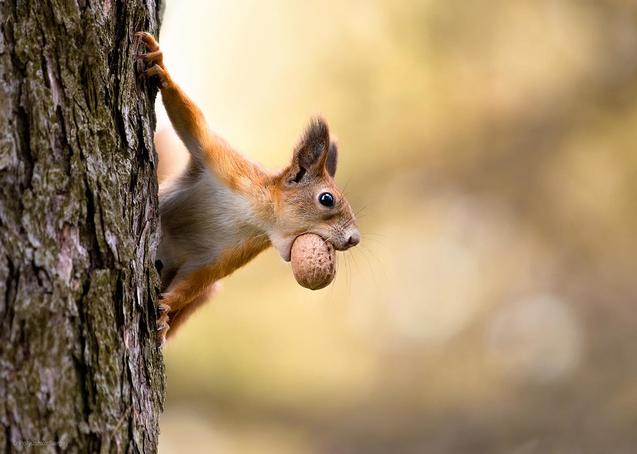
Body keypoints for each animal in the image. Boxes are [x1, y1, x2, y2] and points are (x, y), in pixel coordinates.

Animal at [135, 32, 358, 344]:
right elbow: (194, 125)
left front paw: (166, 308)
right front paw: (161, 67)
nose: (355, 239)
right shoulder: (224, 164)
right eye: (327, 199)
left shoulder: (227, 254)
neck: (255, 213)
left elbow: (196, 280)